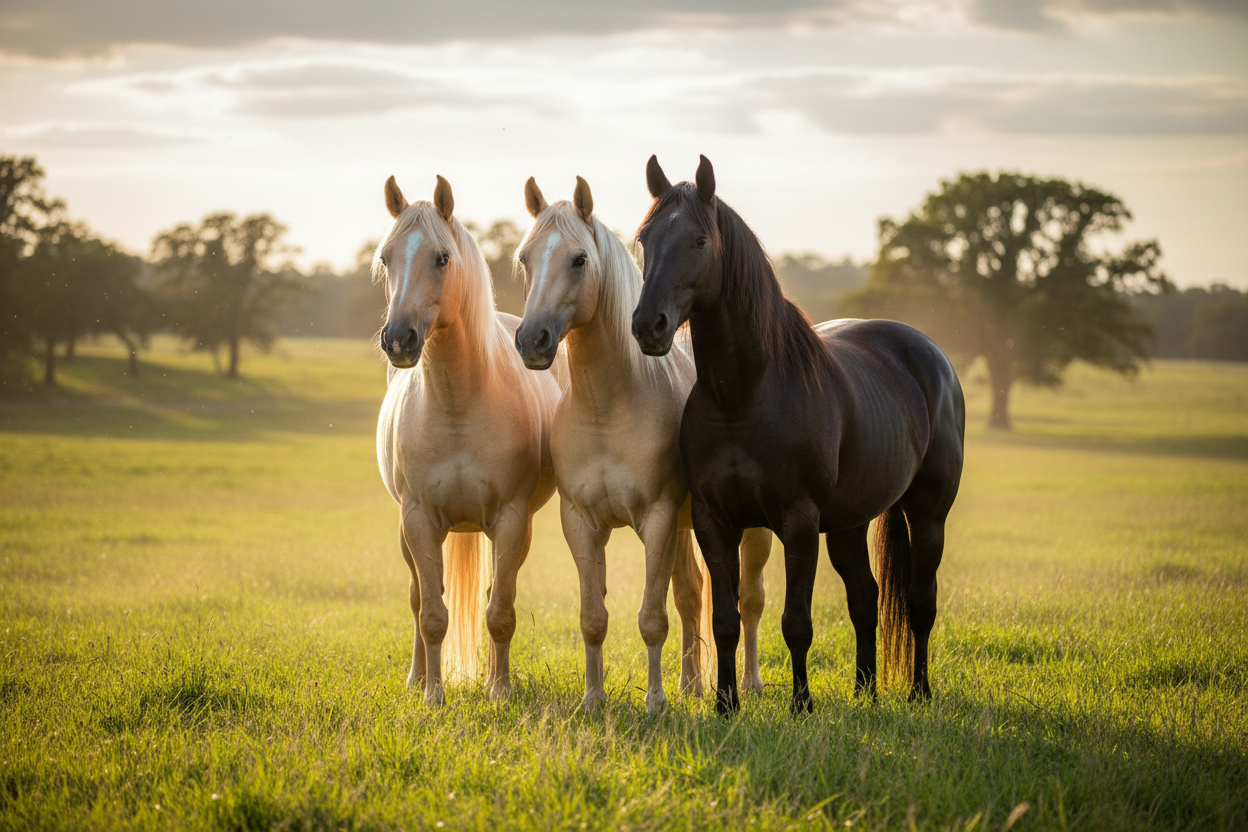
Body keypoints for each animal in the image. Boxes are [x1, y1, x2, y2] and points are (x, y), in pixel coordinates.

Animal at [375, 174, 559, 705]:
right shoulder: (418, 520)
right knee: (418, 599)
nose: (398, 339)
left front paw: (500, 692)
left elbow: (500, 612)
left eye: (441, 258)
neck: (459, 406)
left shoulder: (512, 521)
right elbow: (433, 614)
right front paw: (433, 696)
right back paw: (417, 678)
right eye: (386, 258)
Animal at [512, 176, 773, 713]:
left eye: (579, 259)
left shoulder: (657, 519)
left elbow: (653, 620)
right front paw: (593, 699)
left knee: (751, 600)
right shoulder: (582, 523)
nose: (532, 340)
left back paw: (750, 683)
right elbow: (594, 618)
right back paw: (692, 685)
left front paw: (654, 704)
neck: (607, 409)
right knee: (692, 594)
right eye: (525, 258)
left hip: (748, 530)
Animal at [631, 156, 965, 715]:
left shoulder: (799, 522)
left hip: (927, 514)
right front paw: (725, 704)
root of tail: (928, 353)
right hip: (850, 524)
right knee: (866, 598)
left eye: (699, 240)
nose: (647, 325)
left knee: (921, 602)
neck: (743, 397)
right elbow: (725, 620)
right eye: (644, 238)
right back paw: (865, 691)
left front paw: (801, 704)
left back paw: (918, 691)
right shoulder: (714, 522)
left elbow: (796, 623)